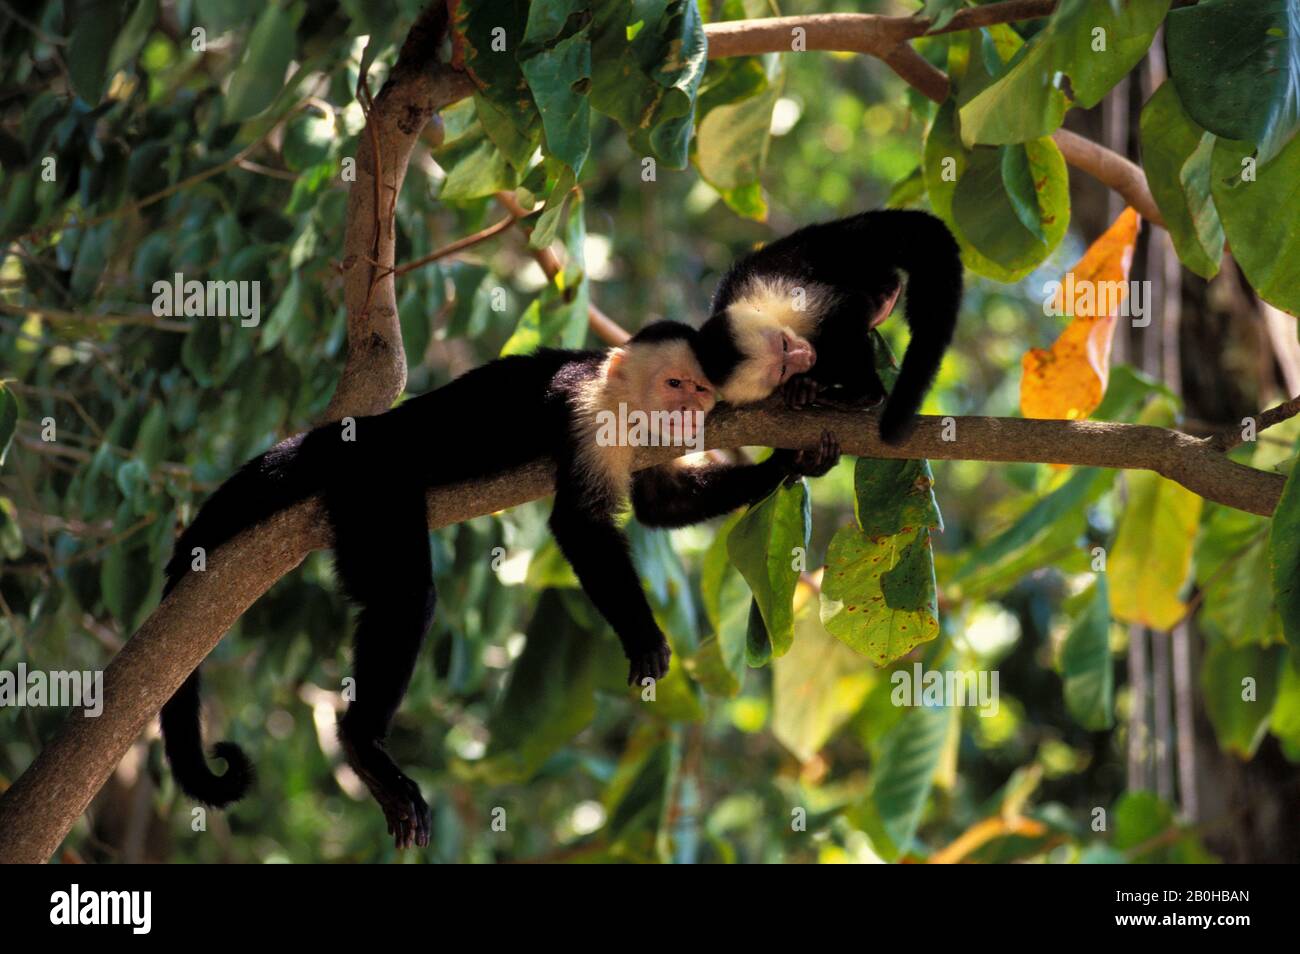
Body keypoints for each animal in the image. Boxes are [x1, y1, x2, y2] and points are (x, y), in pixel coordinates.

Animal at [157, 323, 837, 852]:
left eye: (700, 391)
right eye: (675, 384)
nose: (690, 411)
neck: (619, 394)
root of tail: (368, 428)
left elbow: (657, 503)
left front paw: (788, 463)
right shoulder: (587, 414)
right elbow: (580, 524)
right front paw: (641, 635)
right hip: (373, 484)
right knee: (407, 597)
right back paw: (364, 744)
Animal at [691, 210, 967, 441]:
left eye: (784, 344)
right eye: (781, 370)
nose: (803, 357)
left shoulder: (776, 293)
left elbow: (848, 308)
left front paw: (814, 381)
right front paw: (802, 384)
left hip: (851, 247)